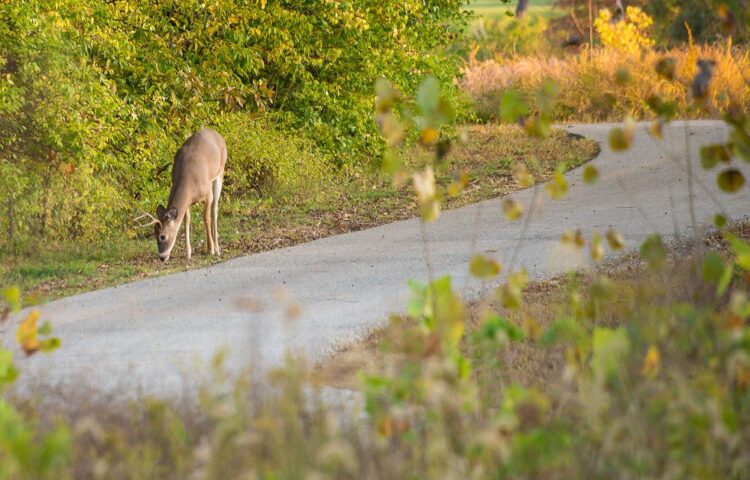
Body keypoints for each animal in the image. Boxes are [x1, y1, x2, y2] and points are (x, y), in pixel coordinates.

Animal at [136, 129, 227, 262]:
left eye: (162, 236)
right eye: (154, 233)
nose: (162, 257)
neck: (189, 183)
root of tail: (217, 133)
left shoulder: (207, 194)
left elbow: (206, 219)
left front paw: (210, 249)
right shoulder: (187, 202)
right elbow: (186, 221)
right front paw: (188, 253)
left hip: (220, 172)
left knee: (215, 209)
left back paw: (217, 248)